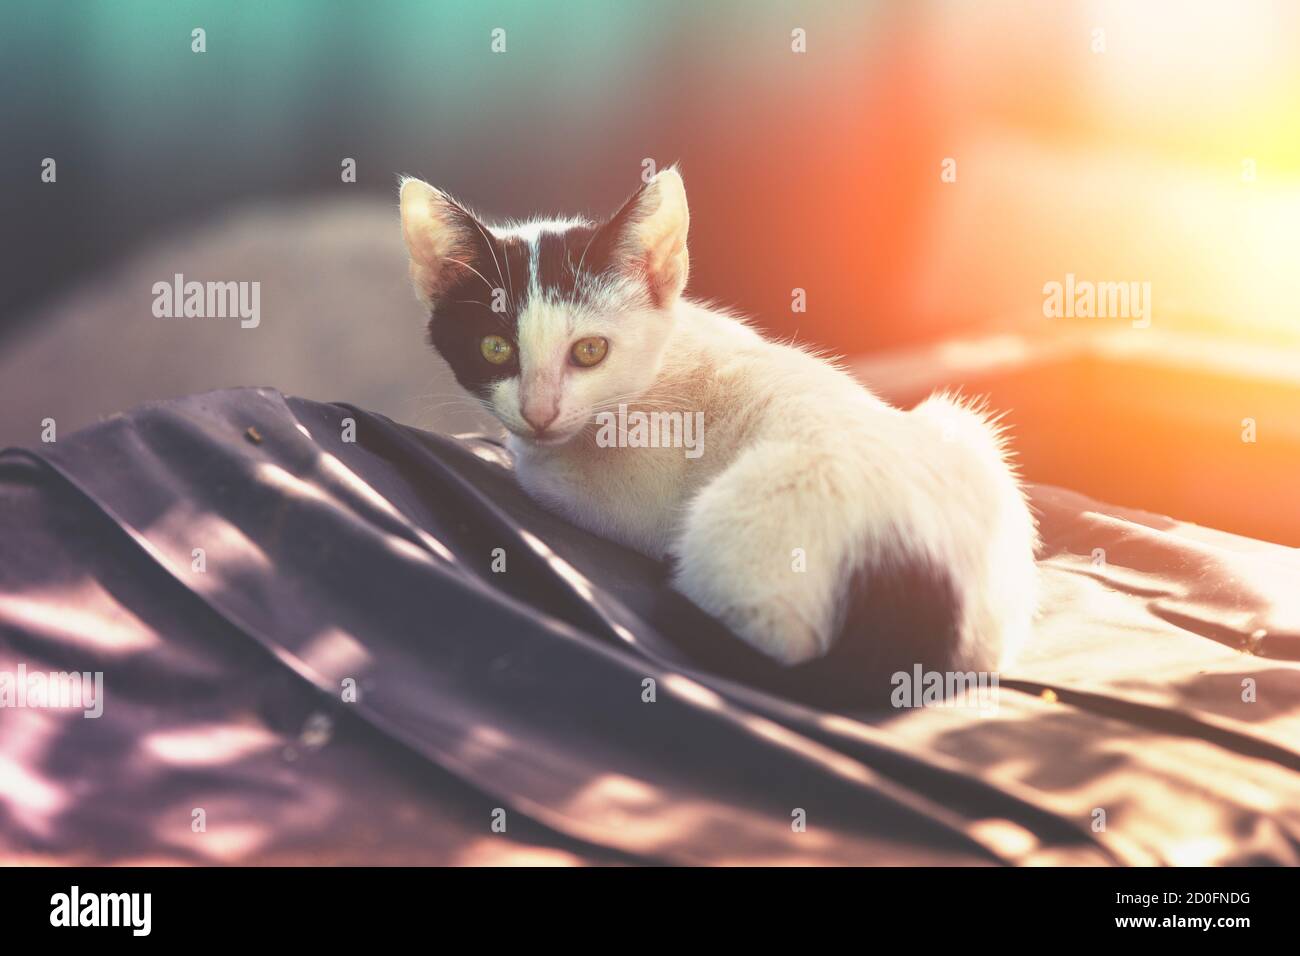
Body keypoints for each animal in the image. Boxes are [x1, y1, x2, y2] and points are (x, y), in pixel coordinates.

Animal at [395, 166, 1034, 671]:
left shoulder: (632, 497)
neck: (656, 369)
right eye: (495, 349)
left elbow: (539, 475)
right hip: (962, 429)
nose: (538, 412)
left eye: (590, 351)